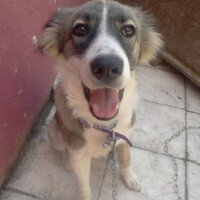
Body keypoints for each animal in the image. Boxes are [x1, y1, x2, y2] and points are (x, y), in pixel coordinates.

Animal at [38, 0, 162, 199]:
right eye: (80, 29)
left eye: (129, 30)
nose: (107, 66)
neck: (104, 126)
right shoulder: (79, 156)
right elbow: (84, 188)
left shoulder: (125, 135)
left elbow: (126, 159)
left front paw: (130, 178)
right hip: (54, 132)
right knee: (62, 149)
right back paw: (66, 162)